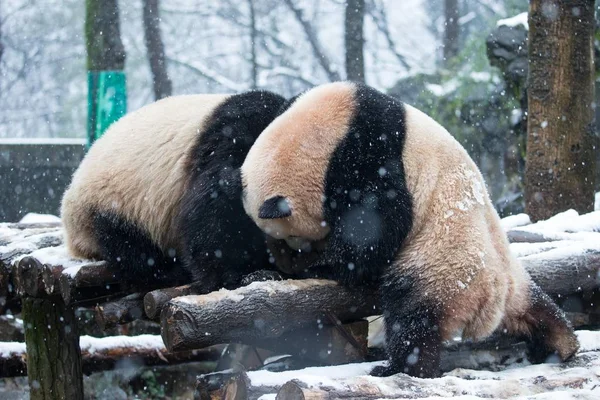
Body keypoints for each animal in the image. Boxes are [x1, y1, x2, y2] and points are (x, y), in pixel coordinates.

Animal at [62, 90, 288, 290]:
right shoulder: (232, 132)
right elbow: (211, 211)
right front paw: (245, 276)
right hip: (113, 202)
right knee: (130, 247)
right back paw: (171, 271)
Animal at [240, 82, 580, 378]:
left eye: (292, 236)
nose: (296, 257)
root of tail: (493, 299)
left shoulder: (368, 151)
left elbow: (377, 223)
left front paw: (321, 267)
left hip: (443, 265)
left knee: (413, 315)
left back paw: (399, 368)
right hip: (510, 275)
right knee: (536, 306)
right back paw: (561, 344)